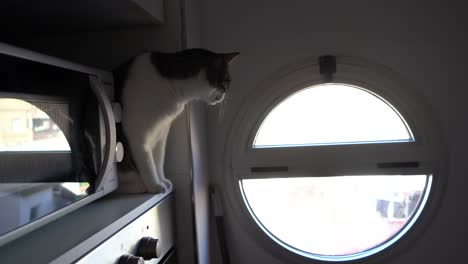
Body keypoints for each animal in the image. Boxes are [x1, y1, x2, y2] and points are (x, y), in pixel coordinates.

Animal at [112, 49, 238, 193]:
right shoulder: (136, 134)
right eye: (227, 81)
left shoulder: (162, 132)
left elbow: (158, 161)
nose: (224, 95)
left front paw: (162, 181)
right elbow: (147, 162)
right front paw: (155, 186)